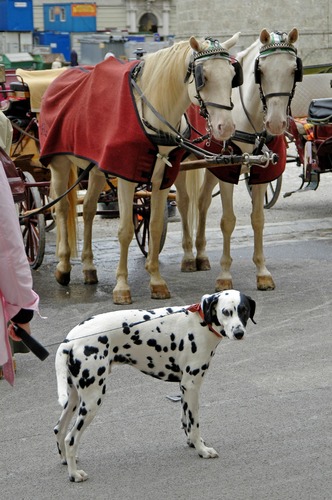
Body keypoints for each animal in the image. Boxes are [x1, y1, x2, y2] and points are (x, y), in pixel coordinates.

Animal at [39, 34, 241, 304]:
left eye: (232, 76)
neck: (153, 114)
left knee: (89, 210)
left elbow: (154, 225)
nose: (225, 128)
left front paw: (156, 281)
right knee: (61, 209)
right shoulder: (126, 177)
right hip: (59, 164)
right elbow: (124, 230)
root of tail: (61, 74)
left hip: (96, 169)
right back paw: (63, 266)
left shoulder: (163, 178)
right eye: (203, 77)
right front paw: (122, 287)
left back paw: (89, 267)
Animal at [55, 290, 256, 480]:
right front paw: (202, 450)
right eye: (226, 312)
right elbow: (194, 424)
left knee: (59, 429)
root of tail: (70, 340)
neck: (200, 321)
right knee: (70, 439)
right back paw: (74, 474)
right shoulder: (192, 386)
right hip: (92, 400)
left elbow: (186, 421)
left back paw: (65, 460)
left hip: (74, 400)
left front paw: (192, 443)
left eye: (244, 310)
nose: (239, 333)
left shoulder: (184, 388)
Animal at [178, 27, 302, 292]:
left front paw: (262, 272)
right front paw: (225, 275)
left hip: (211, 165)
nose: (276, 123)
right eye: (260, 71)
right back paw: (188, 256)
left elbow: (258, 220)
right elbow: (228, 221)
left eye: (293, 70)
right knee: (184, 203)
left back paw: (201, 255)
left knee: (202, 202)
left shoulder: (261, 172)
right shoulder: (229, 169)